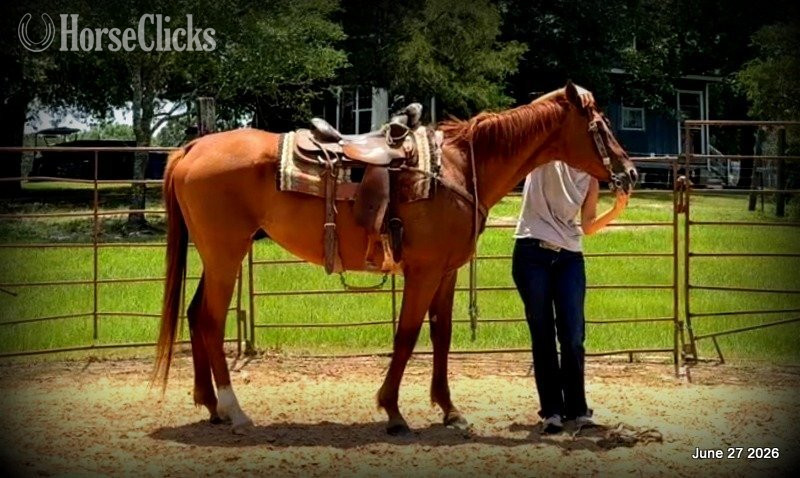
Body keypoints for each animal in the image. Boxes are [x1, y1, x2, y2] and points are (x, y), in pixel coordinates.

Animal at [153, 81, 636, 435]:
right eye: (600, 125)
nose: (629, 172)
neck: (459, 166)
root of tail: (193, 148)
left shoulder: (446, 273)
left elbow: (441, 336)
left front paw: (449, 410)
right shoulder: (423, 272)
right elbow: (406, 337)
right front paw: (393, 411)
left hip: (217, 256)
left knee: (194, 315)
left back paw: (211, 406)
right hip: (226, 254)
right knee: (210, 321)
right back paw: (234, 410)